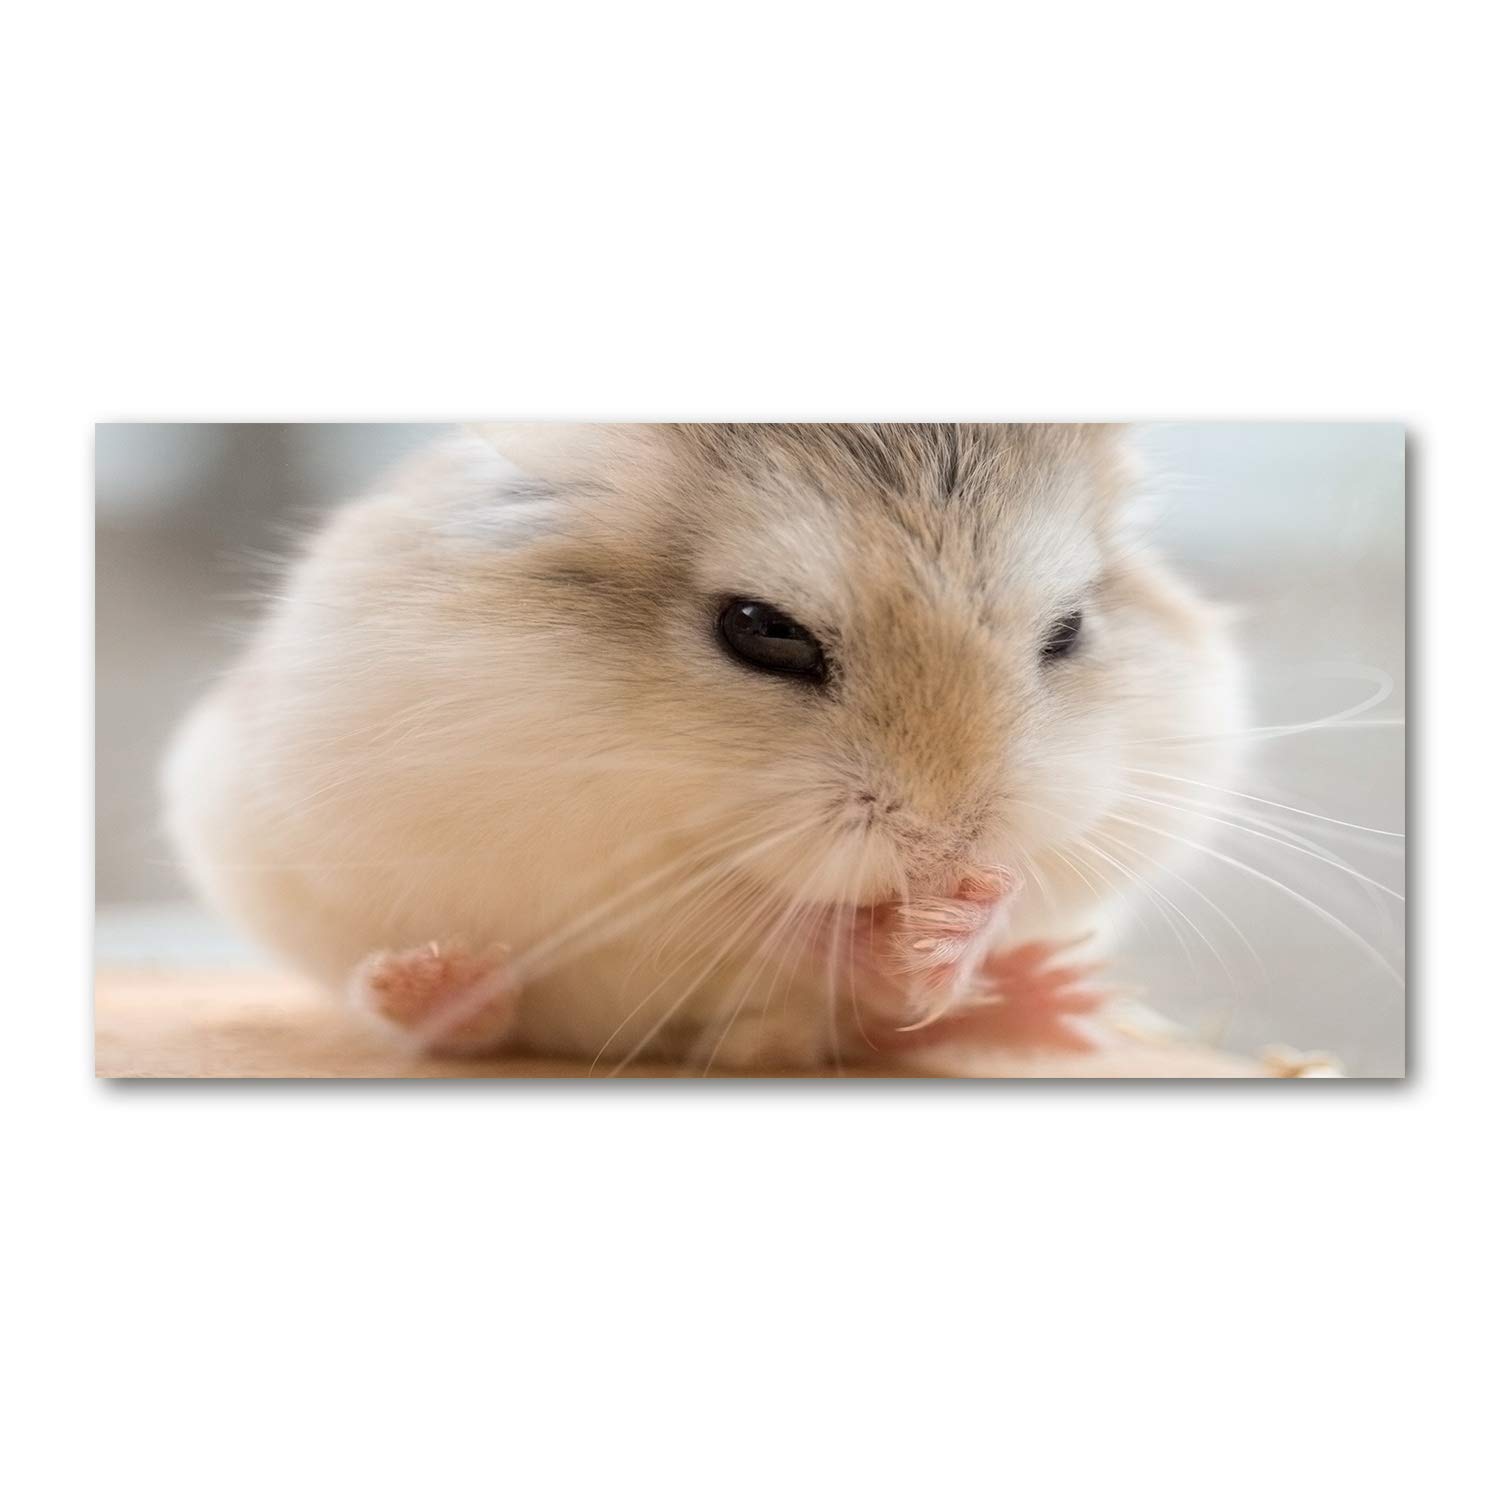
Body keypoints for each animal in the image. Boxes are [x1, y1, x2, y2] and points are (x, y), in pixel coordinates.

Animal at [164, 424, 1244, 1071]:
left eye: (1068, 631)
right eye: (761, 630)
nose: (947, 850)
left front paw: (957, 925)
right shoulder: (572, 846)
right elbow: (733, 907)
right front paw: (878, 928)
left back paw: (1049, 997)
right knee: (466, 1023)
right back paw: (436, 985)